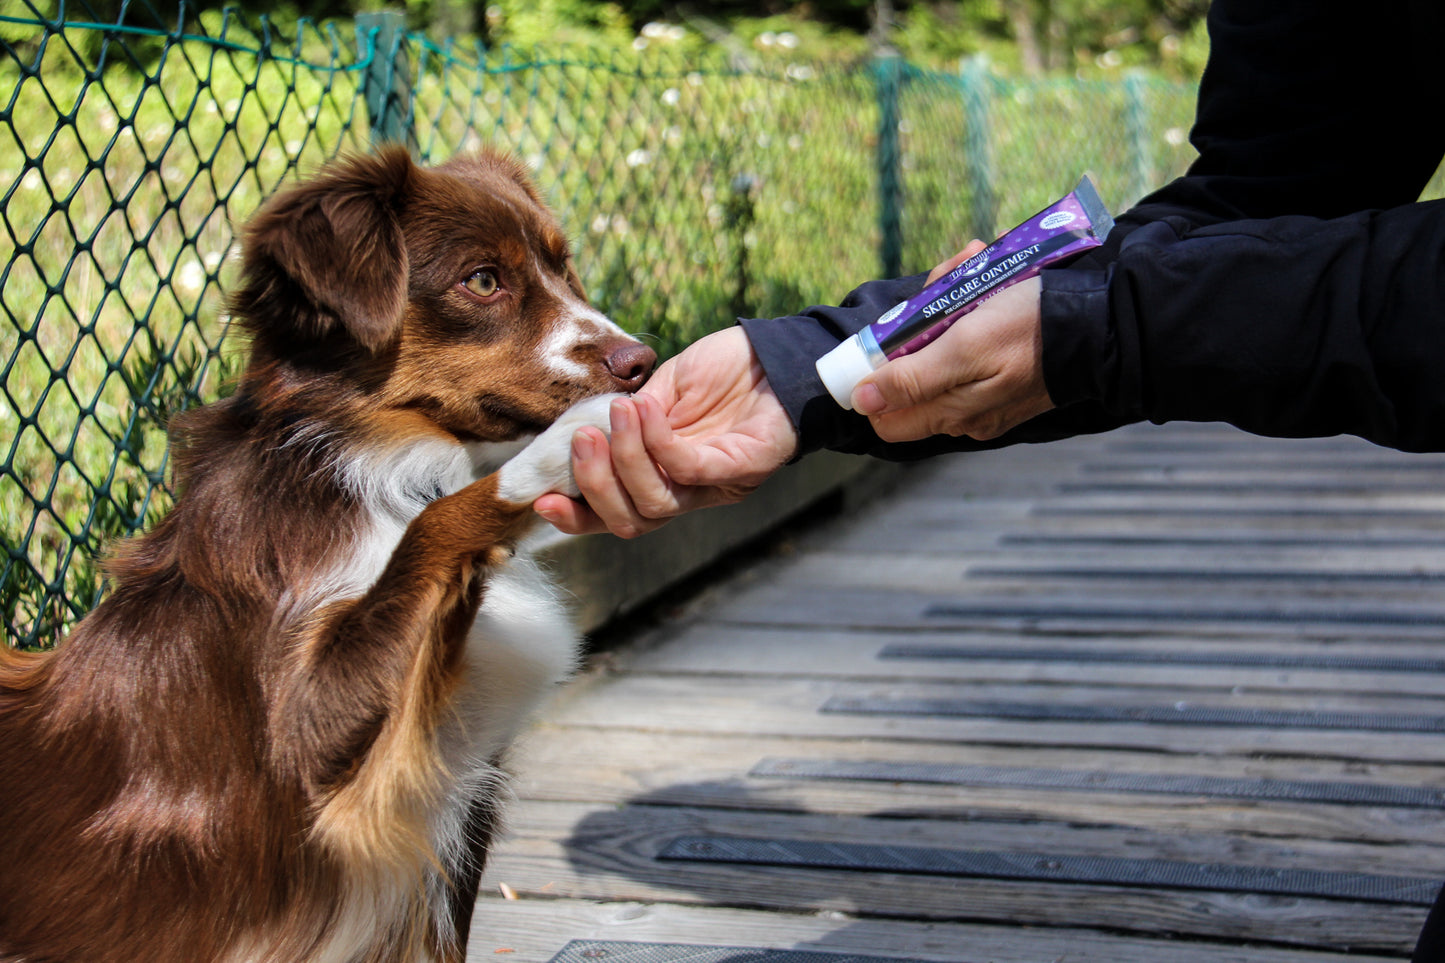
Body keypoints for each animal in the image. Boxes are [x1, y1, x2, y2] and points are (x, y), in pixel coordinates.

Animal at [0, 146, 656, 954]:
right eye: (482, 280)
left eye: (564, 268)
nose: (643, 362)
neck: (382, 475)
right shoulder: (303, 744)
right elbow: (434, 523)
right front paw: (565, 443)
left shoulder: (455, 798)